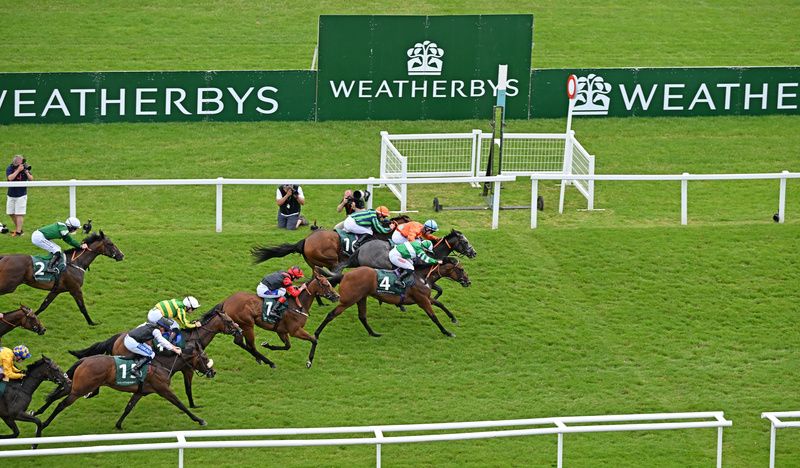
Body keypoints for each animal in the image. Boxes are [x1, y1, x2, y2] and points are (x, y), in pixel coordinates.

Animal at [38, 340, 216, 432]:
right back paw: (44, 424)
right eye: (205, 357)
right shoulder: (163, 390)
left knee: (57, 395)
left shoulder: (140, 392)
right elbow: (181, 405)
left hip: (76, 385)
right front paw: (200, 420)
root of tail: (84, 360)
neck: (162, 364)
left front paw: (118, 425)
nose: (213, 372)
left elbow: (129, 407)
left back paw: (38, 412)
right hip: (82, 389)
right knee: (61, 404)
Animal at [66, 308, 241, 408]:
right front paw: (193, 406)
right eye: (229, 320)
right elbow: (188, 387)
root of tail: (118, 337)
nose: (239, 330)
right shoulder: (187, 367)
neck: (193, 338)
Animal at [306, 258, 468, 368]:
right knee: (331, 315)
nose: (468, 281)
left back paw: (374, 333)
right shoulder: (422, 300)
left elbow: (441, 304)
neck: (422, 277)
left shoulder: (425, 298)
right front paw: (447, 332)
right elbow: (434, 317)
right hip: (348, 300)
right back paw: (317, 334)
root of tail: (345, 275)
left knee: (362, 316)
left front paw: (453, 318)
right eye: (460, 269)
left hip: (361, 298)